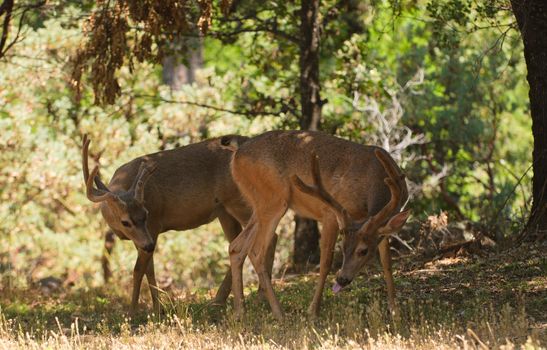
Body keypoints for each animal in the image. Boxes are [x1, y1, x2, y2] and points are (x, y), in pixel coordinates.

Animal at [82, 135, 278, 314]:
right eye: (126, 221)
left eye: (146, 214)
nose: (149, 245)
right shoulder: (142, 238)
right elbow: (149, 269)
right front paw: (157, 309)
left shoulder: (153, 225)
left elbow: (138, 270)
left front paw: (132, 313)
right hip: (224, 210)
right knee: (239, 245)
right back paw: (218, 301)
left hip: (240, 201)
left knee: (269, 237)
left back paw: (259, 297)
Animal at [220, 130, 408, 322]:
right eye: (343, 247)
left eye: (363, 251)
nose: (342, 279)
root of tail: (238, 152)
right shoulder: (331, 213)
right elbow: (325, 262)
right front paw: (313, 311)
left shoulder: (378, 225)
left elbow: (387, 262)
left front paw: (395, 311)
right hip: (273, 199)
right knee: (257, 252)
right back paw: (280, 314)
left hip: (259, 204)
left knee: (236, 247)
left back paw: (240, 312)